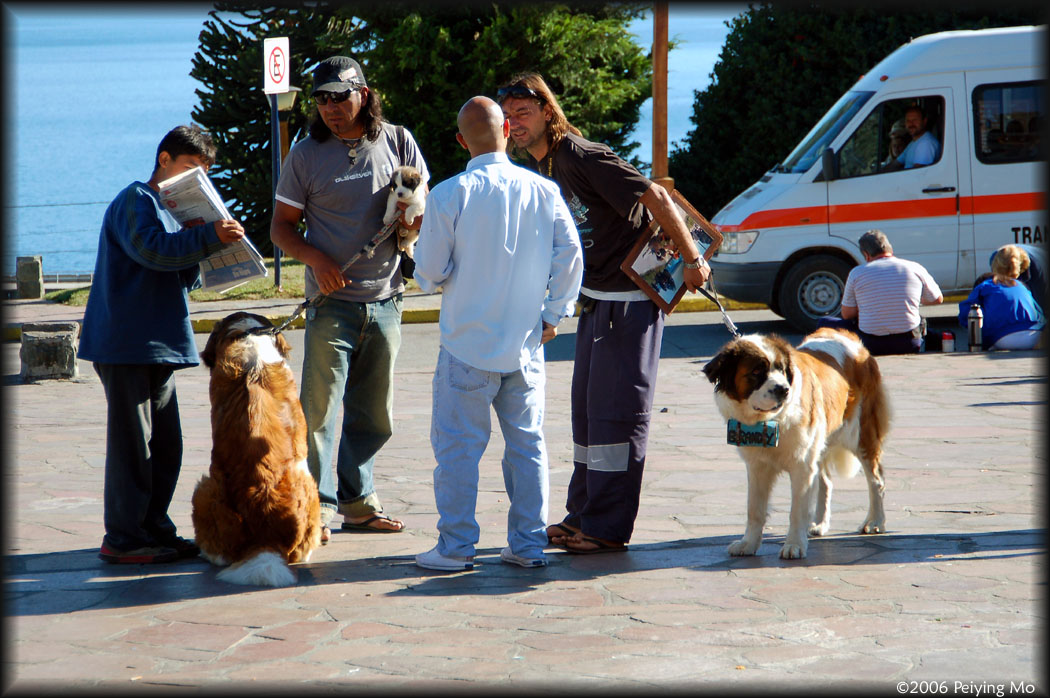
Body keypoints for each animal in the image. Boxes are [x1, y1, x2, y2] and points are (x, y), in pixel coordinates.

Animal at [705, 327, 886, 562]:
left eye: (781, 370)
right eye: (757, 371)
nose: (783, 389)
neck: (769, 420)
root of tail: (847, 335)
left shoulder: (802, 465)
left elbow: (797, 510)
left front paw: (794, 545)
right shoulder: (757, 467)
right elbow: (754, 509)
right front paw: (748, 543)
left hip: (861, 433)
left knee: (875, 480)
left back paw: (874, 521)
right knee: (825, 482)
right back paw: (818, 524)